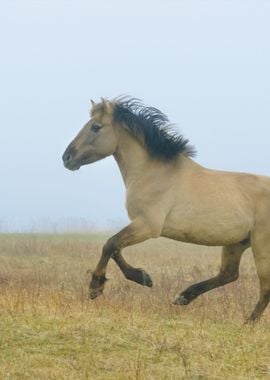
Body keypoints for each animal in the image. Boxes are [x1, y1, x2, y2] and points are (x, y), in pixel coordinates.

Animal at [62, 96, 270, 322]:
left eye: (96, 127)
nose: (66, 158)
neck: (153, 173)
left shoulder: (148, 226)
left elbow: (110, 244)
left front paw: (96, 286)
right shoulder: (140, 225)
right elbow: (116, 247)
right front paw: (143, 277)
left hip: (261, 245)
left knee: (264, 287)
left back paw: (248, 323)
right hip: (237, 242)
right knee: (229, 274)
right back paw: (184, 297)